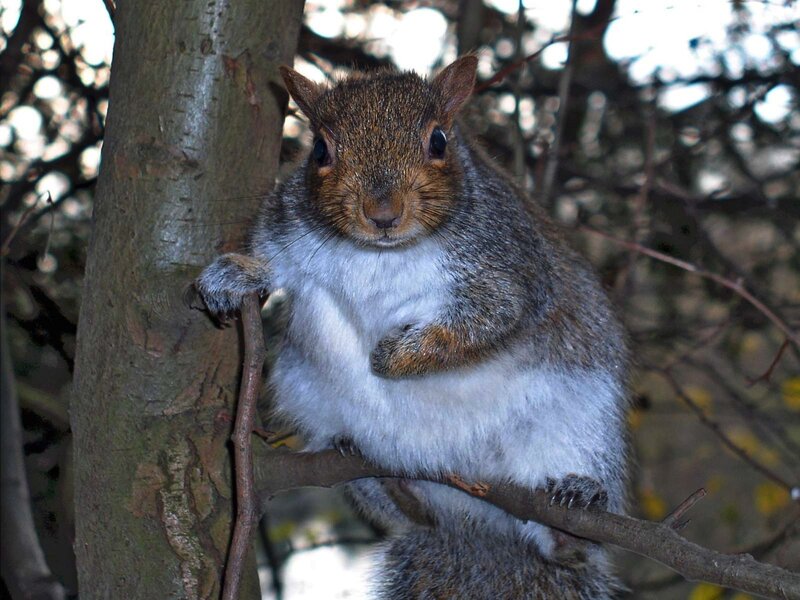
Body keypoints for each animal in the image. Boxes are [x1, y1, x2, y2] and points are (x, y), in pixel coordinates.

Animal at [196, 56, 630, 599]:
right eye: (320, 150)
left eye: (439, 141)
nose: (383, 214)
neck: (381, 254)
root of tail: (476, 521)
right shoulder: (285, 231)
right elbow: (270, 264)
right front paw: (232, 276)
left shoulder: (509, 268)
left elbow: (489, 319)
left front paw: (392, 356)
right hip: (314, 405)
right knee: (415, 515)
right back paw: (389, 483)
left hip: (580, 425)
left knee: (569, 544)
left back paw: (574, 510)